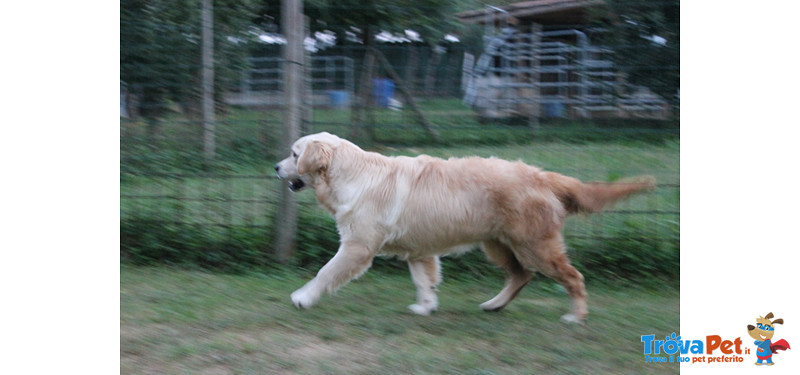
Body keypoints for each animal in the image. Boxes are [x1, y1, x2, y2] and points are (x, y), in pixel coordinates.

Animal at [276, 132, 656, 324]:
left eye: (294, 154)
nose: (275, 167)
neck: (350, 173)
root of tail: (542, 175)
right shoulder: (418, 249)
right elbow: (424, 280)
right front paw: (425, 306)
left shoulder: (358, 246)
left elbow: (326, 272)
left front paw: (302, 297)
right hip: (499, 244)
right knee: (520, 276)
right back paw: (494, 305)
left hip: (535, 245)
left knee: (572, 277)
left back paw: (576, 316)